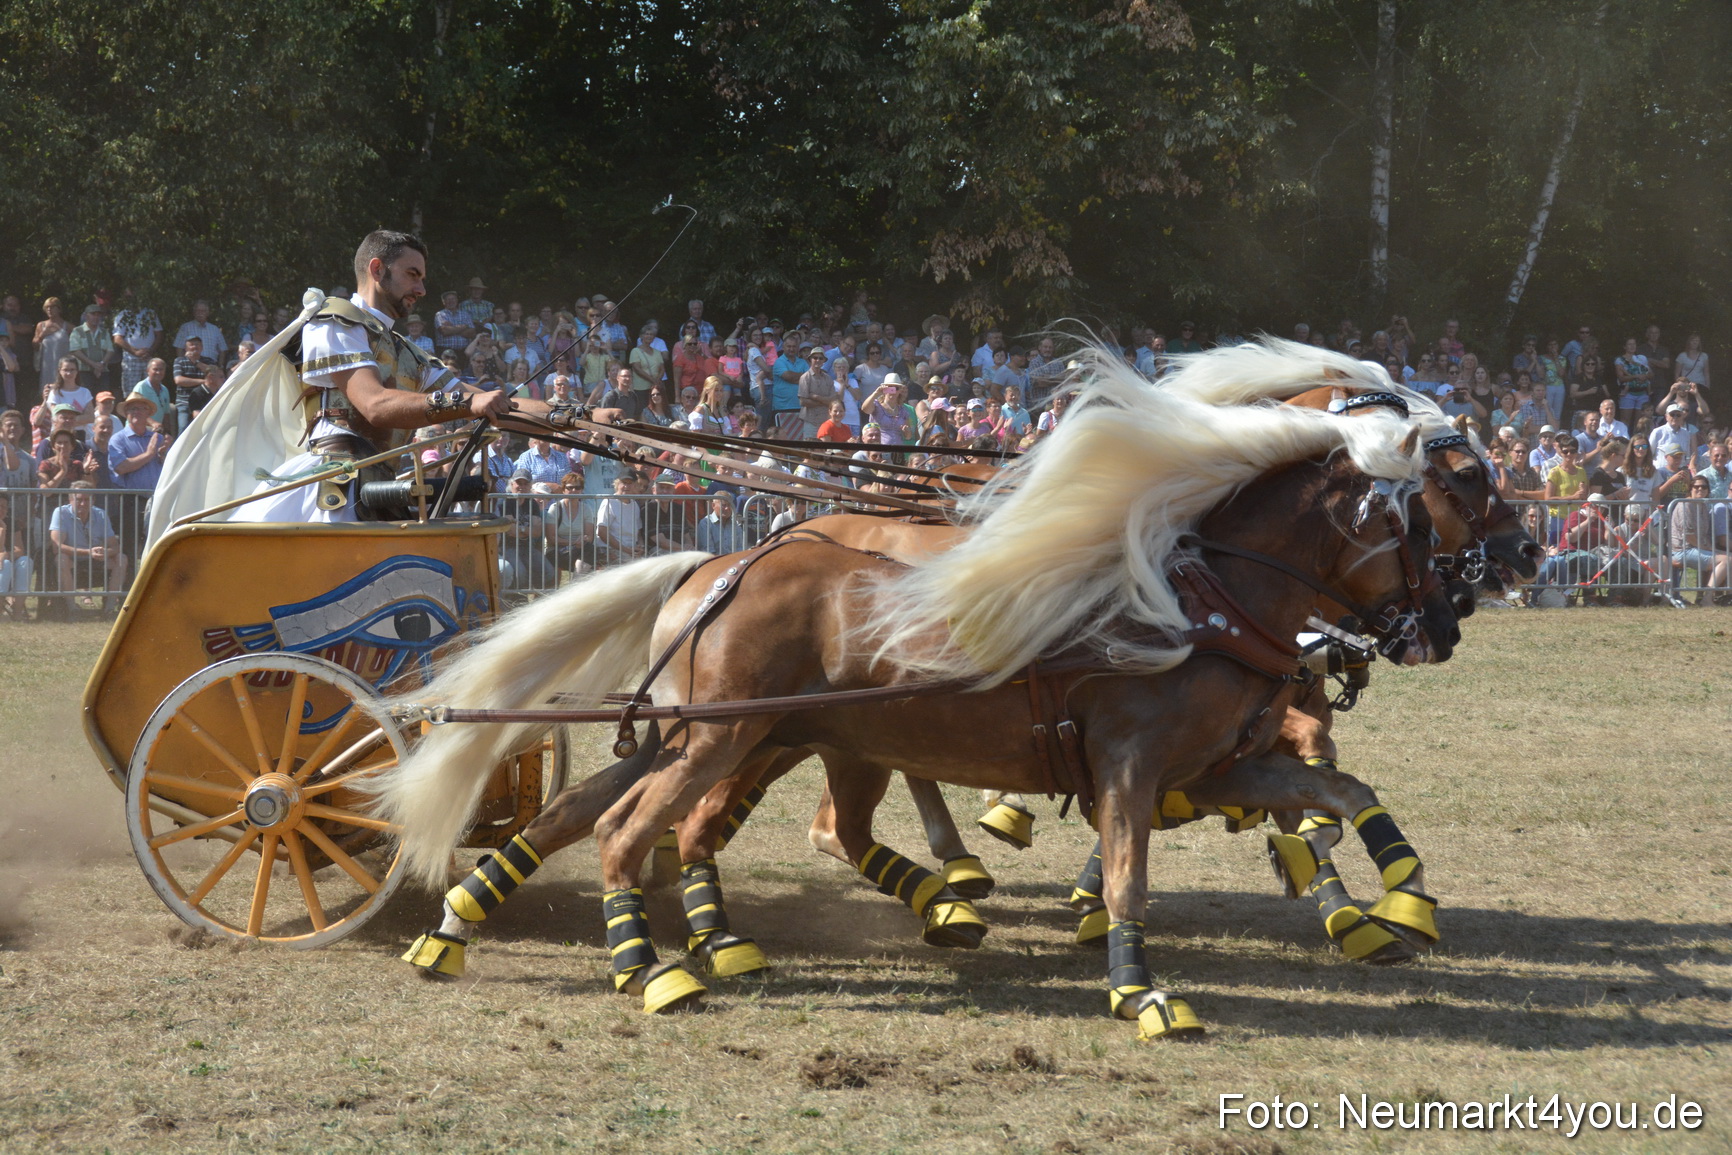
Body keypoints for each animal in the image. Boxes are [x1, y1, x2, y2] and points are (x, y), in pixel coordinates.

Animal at [368, 352, 1459, 1038]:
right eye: (1434, 507)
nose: (1443, 625)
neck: (1200, 596)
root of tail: (719, 564)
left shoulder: (1222, 763)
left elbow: (1340, 794)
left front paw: (1396, 905)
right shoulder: (1131, 762)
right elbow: (1127, 878)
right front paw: (1141, 995)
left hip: (720, 735)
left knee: (598, 816)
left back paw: (463, 926)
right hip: (722, 739)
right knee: (629, 830)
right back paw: (656, 966)